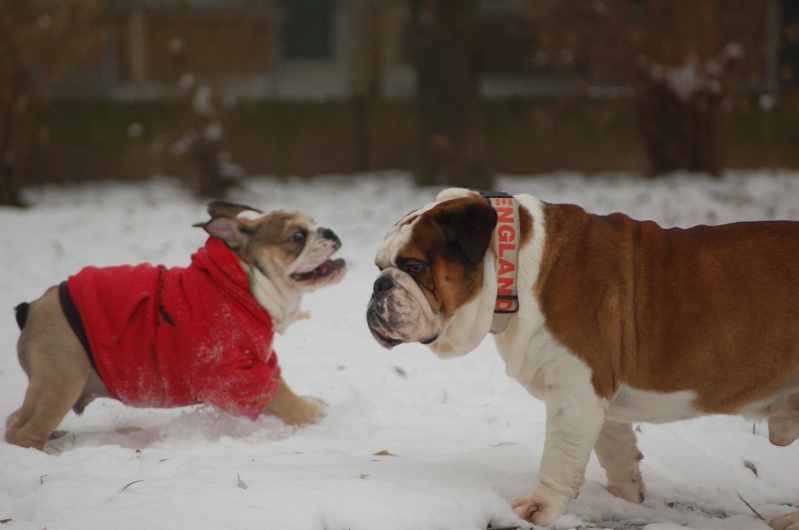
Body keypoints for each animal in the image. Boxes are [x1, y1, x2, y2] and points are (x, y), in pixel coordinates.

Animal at [6, 200, 346, 448]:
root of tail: (31, 310)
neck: (244, 282)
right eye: (297, 237)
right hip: (62, 380)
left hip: (50, 385)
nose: (329, 231)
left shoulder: (261, 361)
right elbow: (285, 400)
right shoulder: (238, 376)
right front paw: (315, 416)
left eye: (314, 222)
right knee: (24, 431)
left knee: (14, 419)